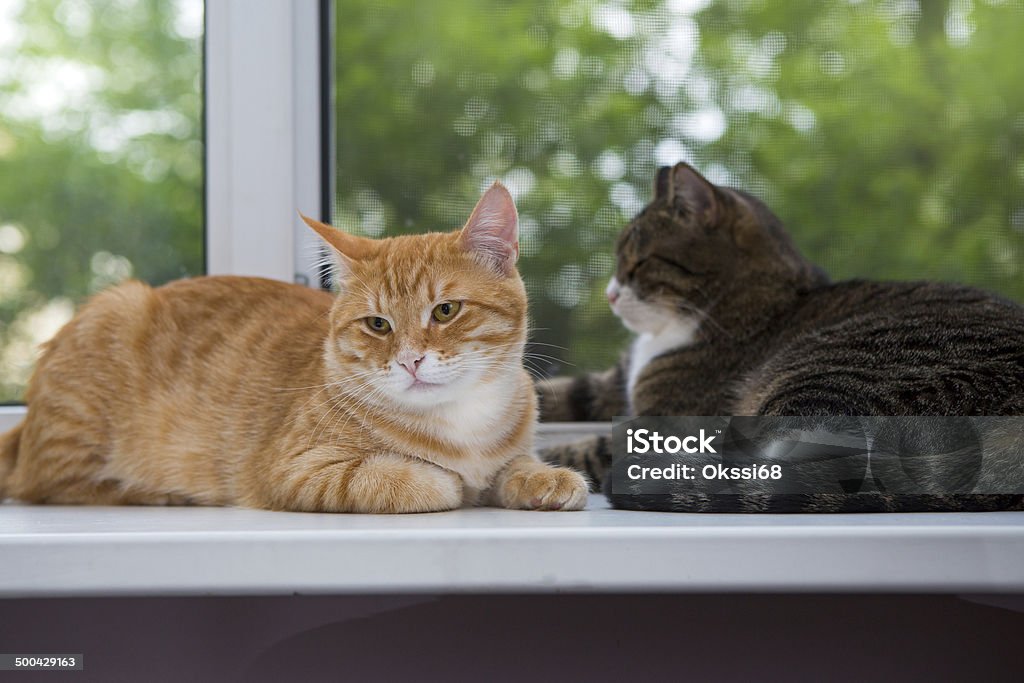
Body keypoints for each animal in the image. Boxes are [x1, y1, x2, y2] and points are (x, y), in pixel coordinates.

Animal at [0, 181, 589, 511]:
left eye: (445, 311)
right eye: (377, 324)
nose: (410, 361)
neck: (461, 425)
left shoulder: (509, 450)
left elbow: (516, 465)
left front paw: (545, 477)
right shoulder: (294, 471)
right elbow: (411, 480)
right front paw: (448, 481)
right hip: (108, 334)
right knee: (48, 486)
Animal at [540, 162, 1024, 509]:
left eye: (637, 263)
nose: (609, 295)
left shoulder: (669, 420)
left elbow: (587, 446)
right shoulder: (609, 384)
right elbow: (553, 391)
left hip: (823, 374)